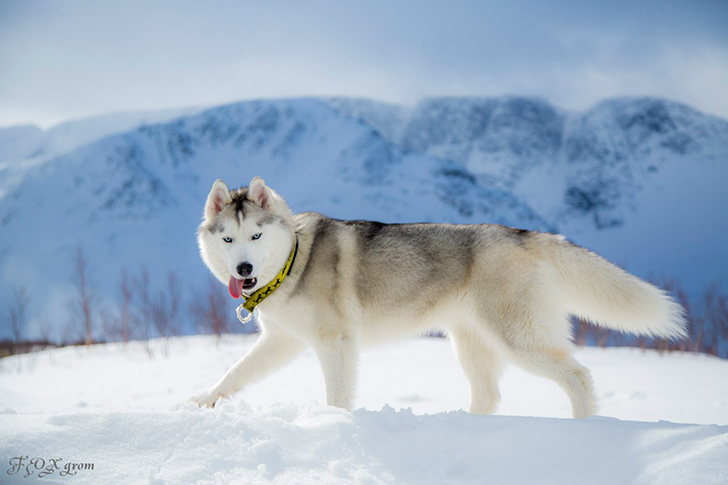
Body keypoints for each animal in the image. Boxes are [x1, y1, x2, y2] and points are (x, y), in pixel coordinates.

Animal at [191, 176, 684, 418]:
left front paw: (334, 424)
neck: (295, 261)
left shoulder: (335, 343)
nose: (244, 272)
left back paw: (584, 430)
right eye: (229, 240)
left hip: (520, 339)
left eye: (256, 235)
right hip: (472, 345)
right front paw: (204, 403)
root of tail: (523, 234)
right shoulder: (283, 341)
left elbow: (337, 395)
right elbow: (234, 373)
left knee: (578, 377)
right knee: (489, 396)